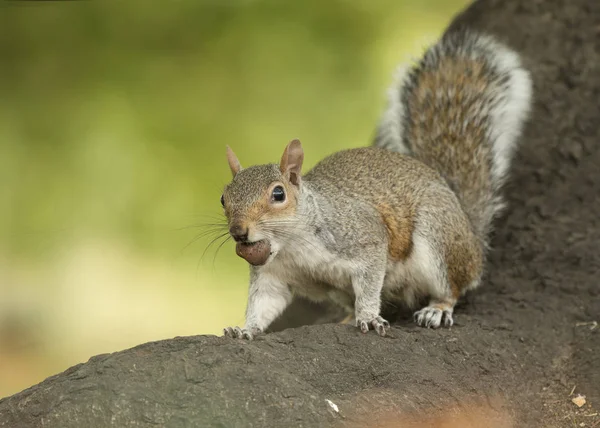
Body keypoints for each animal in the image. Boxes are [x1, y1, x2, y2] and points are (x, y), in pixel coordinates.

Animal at [219, 28, 528, 340]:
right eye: (223, 199)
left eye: (278, 194)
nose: (238, 232)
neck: (291, 244)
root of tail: (471, 234)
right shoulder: (273, 275)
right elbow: (264, 303)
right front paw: (244, 330)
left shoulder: (364, 238)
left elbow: (368, 286)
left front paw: (369, 317)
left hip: (438, 236)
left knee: (452, 287)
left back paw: (437, 309)